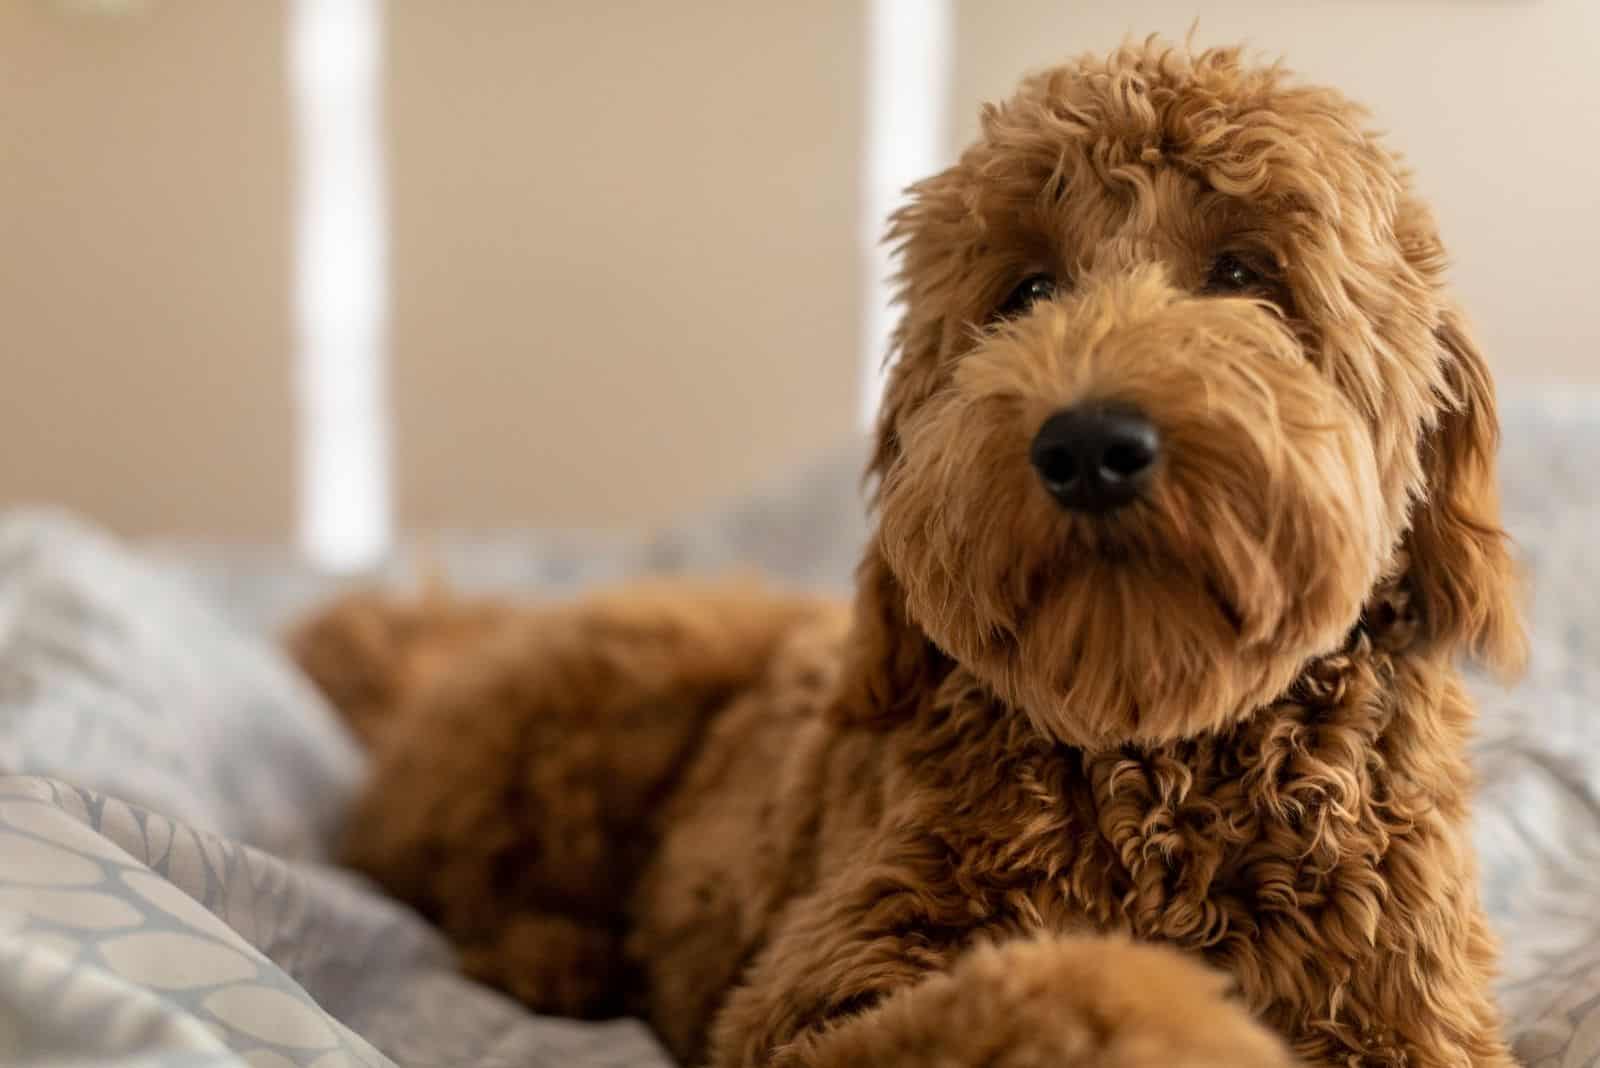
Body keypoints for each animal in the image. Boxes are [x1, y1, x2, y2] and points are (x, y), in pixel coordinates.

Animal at [291, 41, 1523, 1068]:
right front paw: (1179, 1020)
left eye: (1245, 275)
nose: (1087, 446)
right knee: (445, 882)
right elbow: (1056, 989)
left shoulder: (1410, 1015)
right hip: (603, 697)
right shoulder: (808, 999)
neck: (1152, 771)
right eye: (1026, 290)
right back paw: (558, 957)